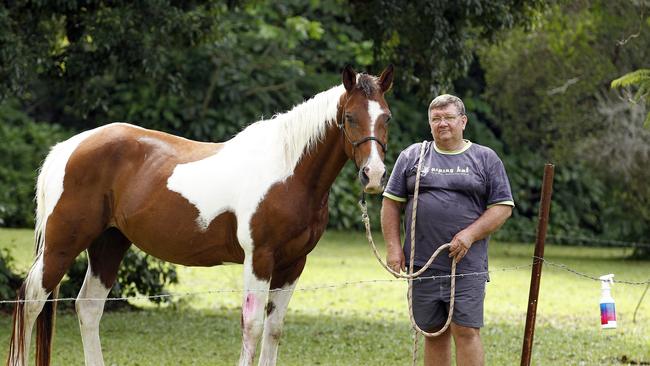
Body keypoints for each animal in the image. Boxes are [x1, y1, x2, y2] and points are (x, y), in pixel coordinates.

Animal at [6, 66, 394, 366]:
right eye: (349, 118)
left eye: (386, 117)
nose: (373, 175)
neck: (288, 171)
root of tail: (68, 148)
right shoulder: (260, 259)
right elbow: (252, 326)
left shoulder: (293, 264)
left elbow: (274, 329)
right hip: (62, 245)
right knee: (31, 298)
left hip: (108, 244)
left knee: (87, 307)